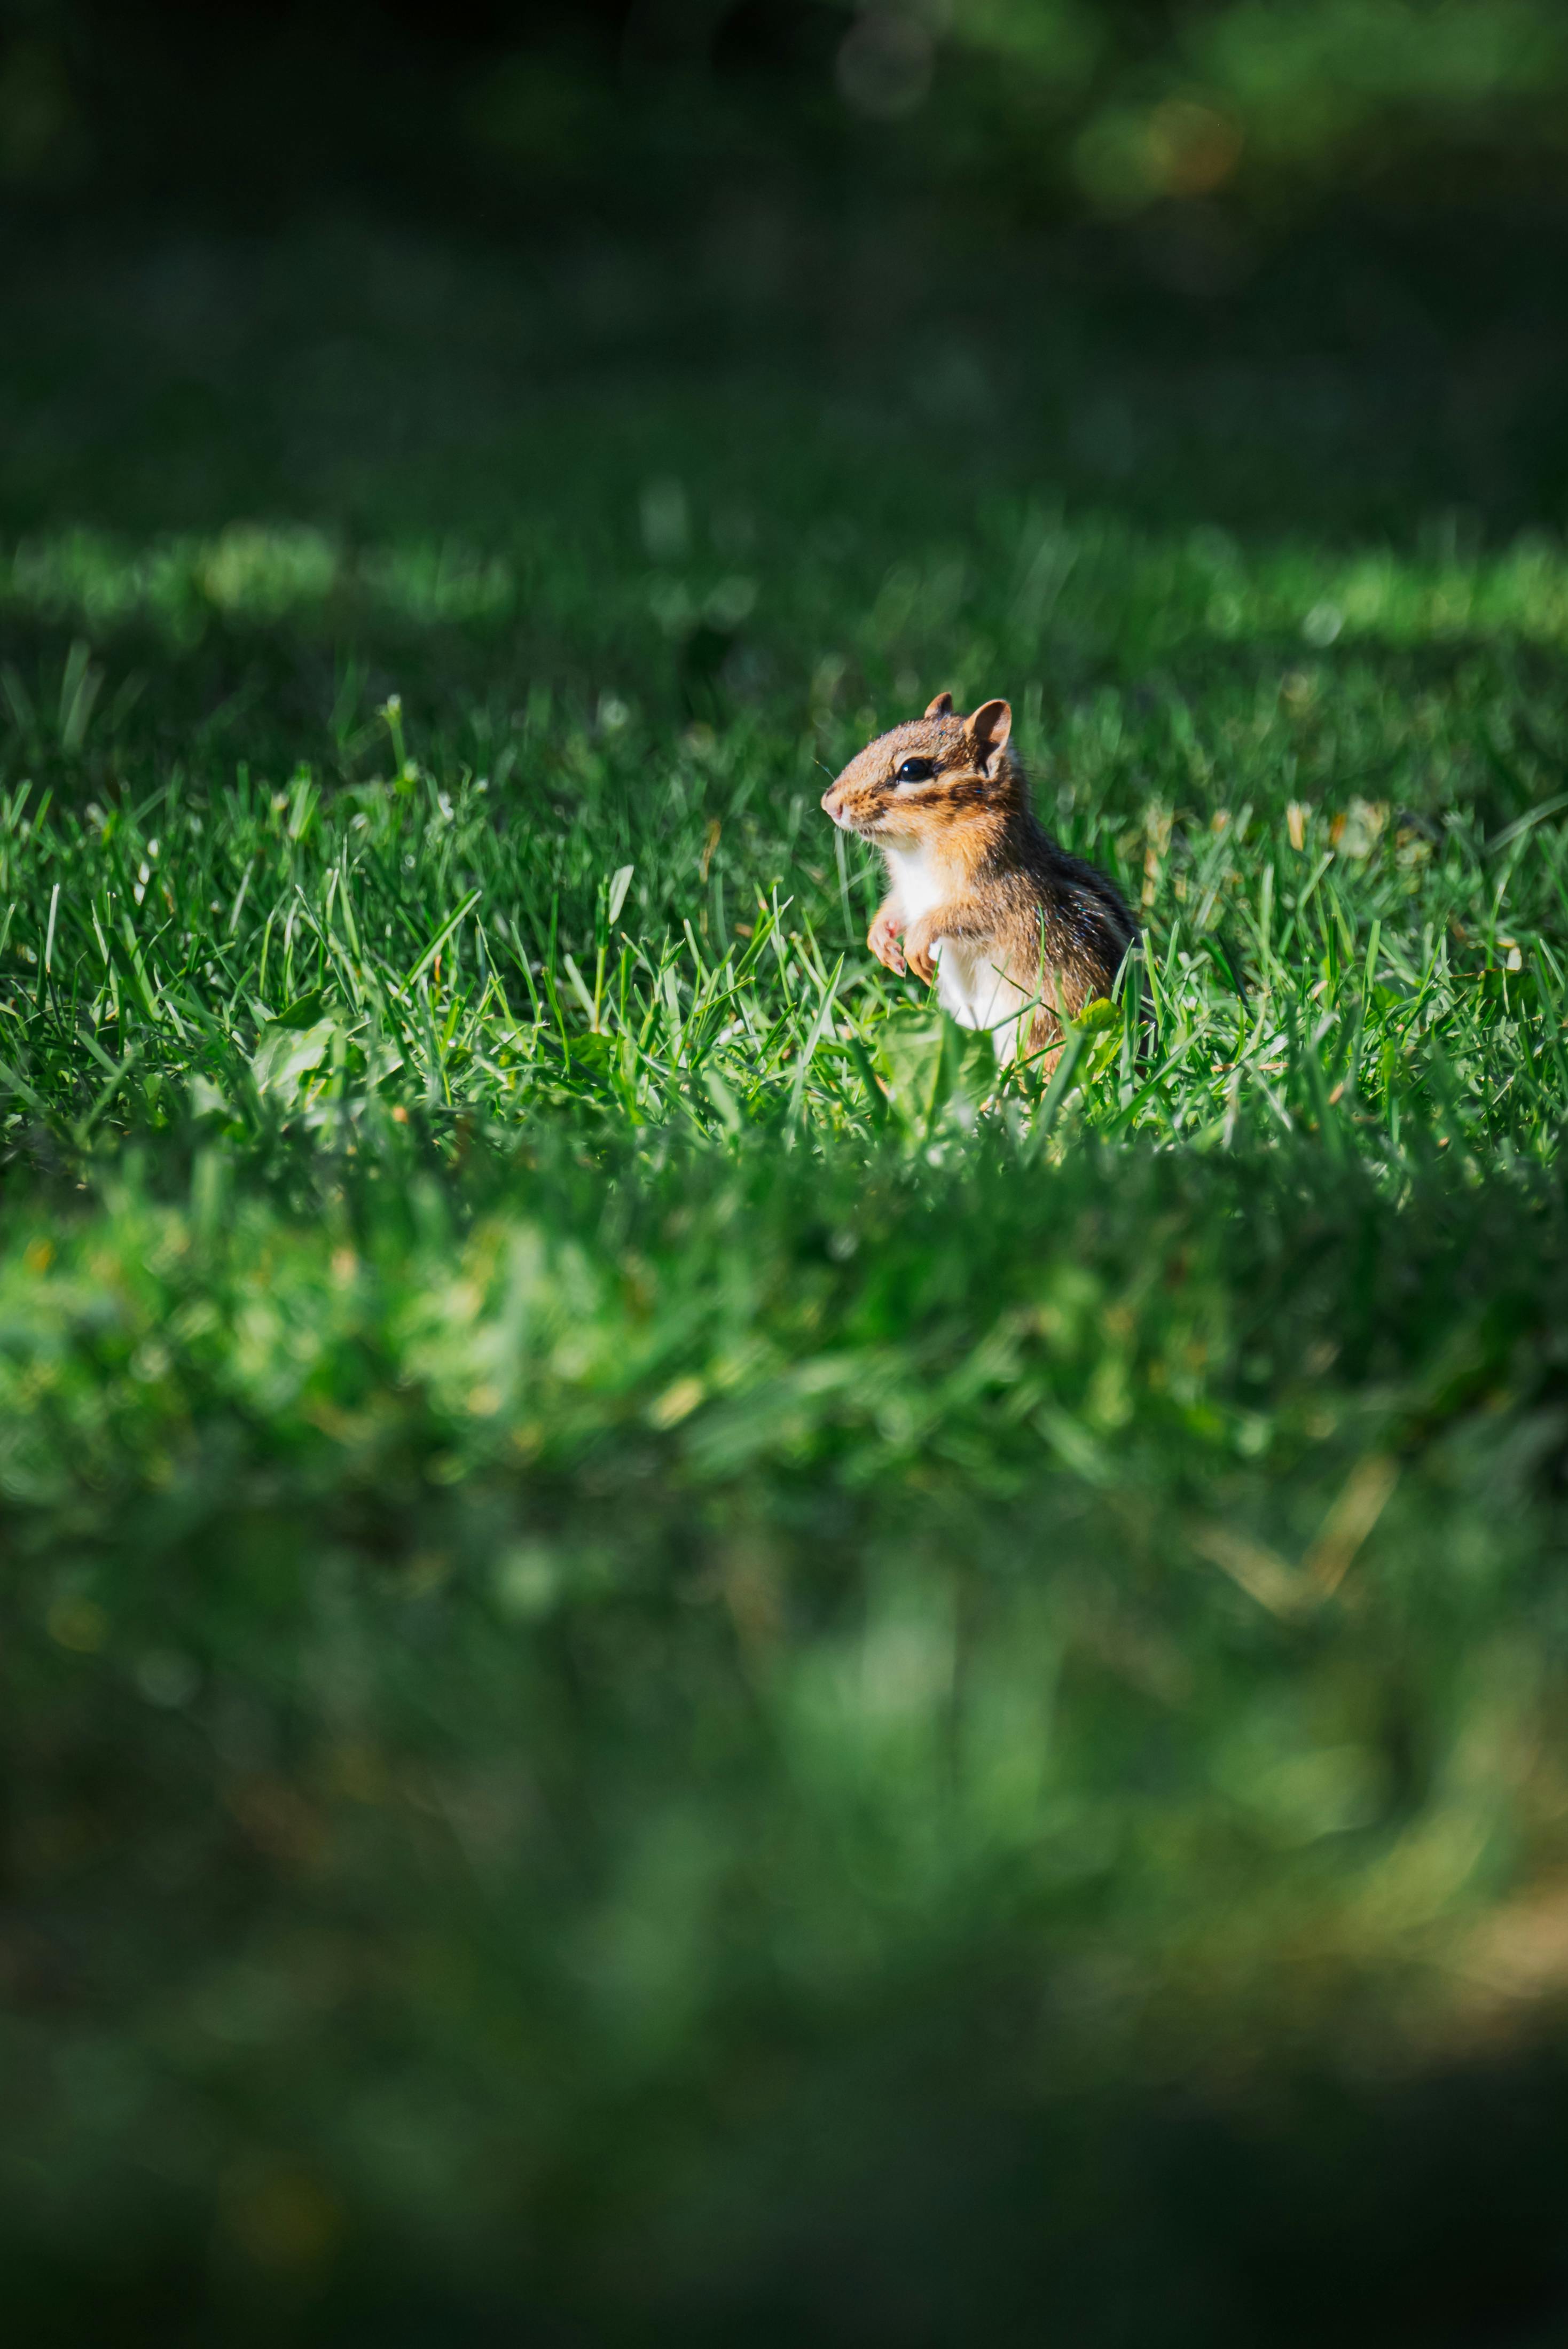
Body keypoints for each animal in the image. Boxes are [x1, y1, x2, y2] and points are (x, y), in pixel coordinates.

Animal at [821, 692, 1138, 1068]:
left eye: (913, 770)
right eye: (875, 741)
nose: (830, 805)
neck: (919, 849)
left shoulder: (1005, 894)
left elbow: (962, 916)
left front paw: (916, 943)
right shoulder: (907, 893)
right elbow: (896, 908)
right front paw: (880, 940)